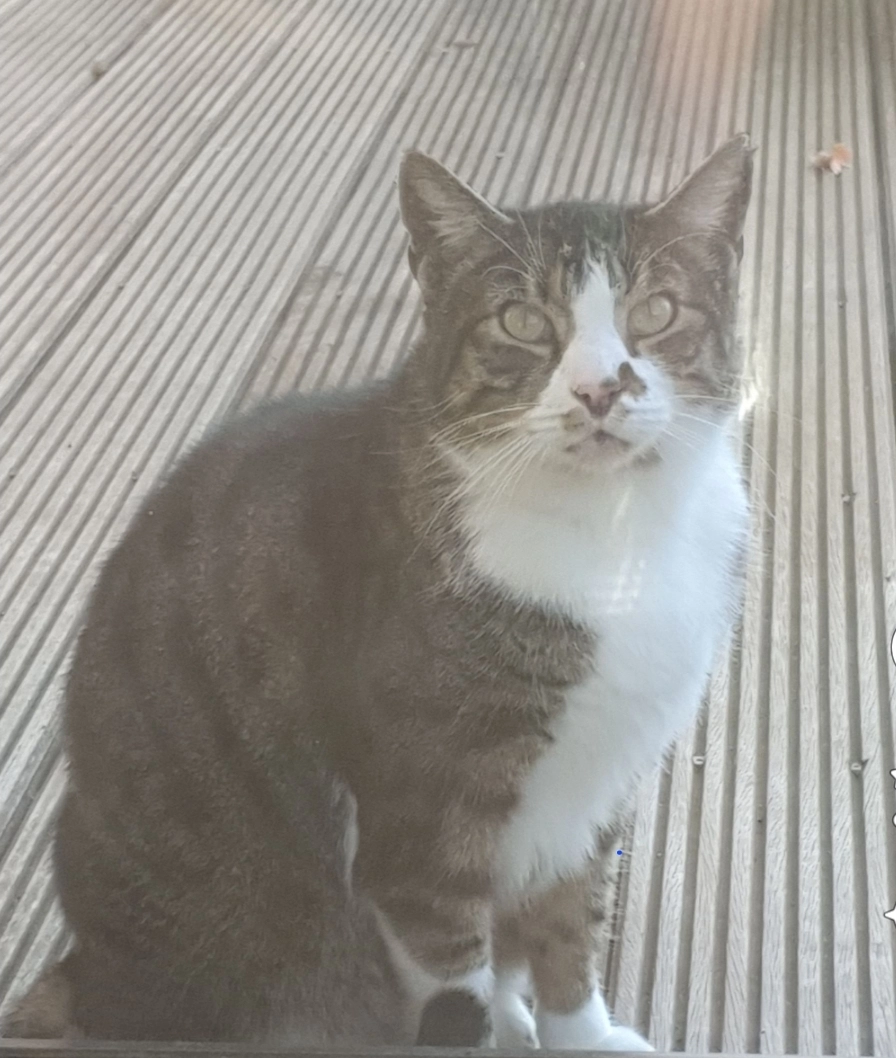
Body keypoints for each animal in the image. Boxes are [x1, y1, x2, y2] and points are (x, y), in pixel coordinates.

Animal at [4, 134, 752, 1050]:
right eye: (521, 322)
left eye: (656, 313)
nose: (601, 388)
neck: (616, 531)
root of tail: (88, 971)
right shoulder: (423, 818)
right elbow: (455, 961)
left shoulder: (596, 788)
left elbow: (567, 931)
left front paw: (580, 1033)